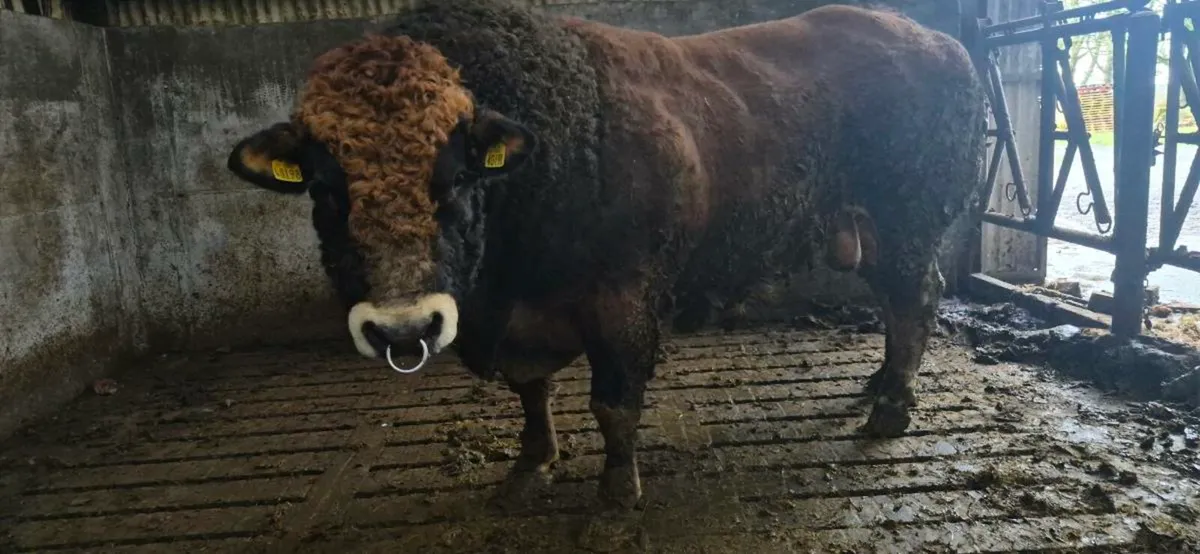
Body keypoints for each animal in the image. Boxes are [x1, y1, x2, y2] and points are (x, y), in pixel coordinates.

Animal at [225, 0, 989, 514]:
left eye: (458, 174)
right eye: (324, 186)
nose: (403, 327)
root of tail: (938, 40)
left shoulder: (623, 305)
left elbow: (612, 402)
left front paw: (617, 492)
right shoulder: (522, 325)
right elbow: (532, 393)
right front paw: (529, 468)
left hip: (908, 223)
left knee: (914, 301)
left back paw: (890, 408)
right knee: (895, 306)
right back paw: (877, 384)